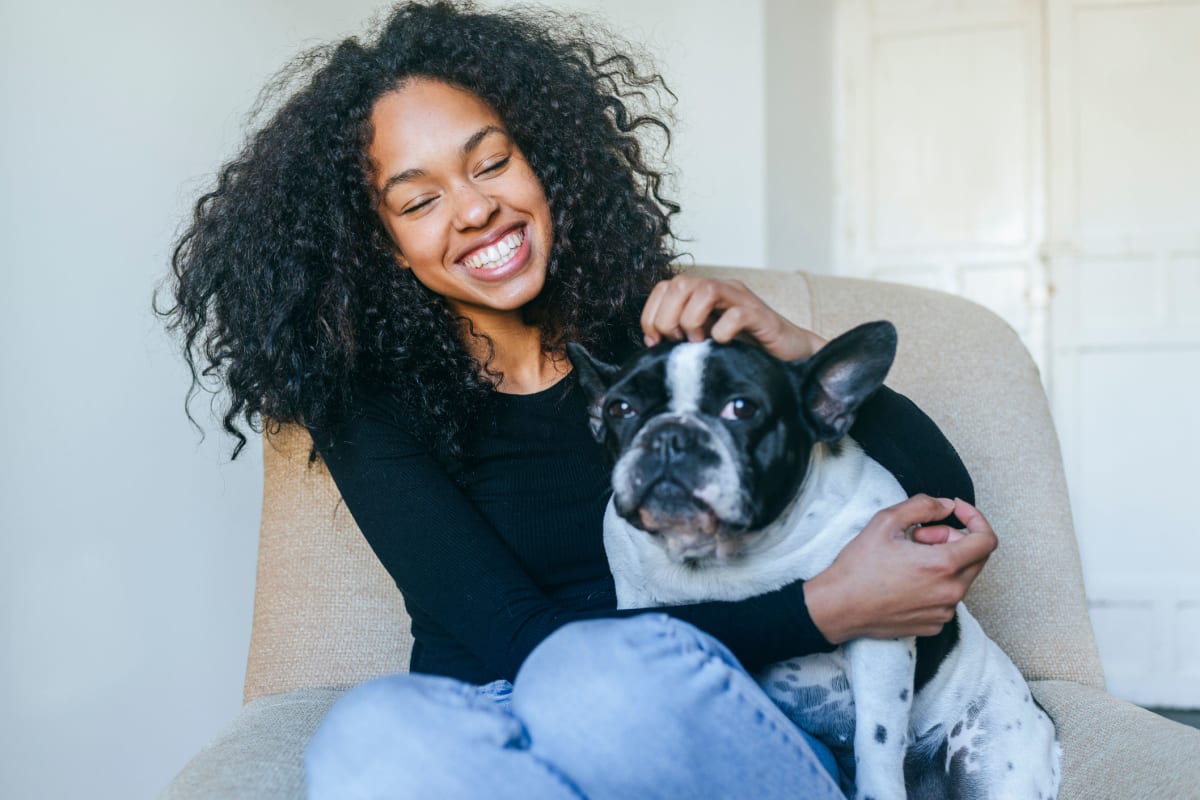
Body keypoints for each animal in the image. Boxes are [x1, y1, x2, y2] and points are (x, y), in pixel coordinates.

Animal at [566, 321, 1065, 800]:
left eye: (742, 408)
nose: (671, 435)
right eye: (619, 409)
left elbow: (877, 737)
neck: (729, 555)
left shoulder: (881, 633)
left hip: (994, 754)